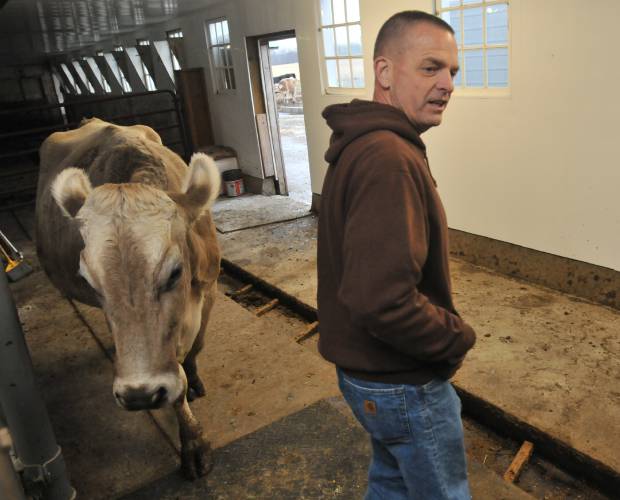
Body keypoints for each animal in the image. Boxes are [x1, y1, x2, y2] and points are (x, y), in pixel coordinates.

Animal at [35, 118, 222, 480]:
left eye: (175, 272)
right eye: (89, 279)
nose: (138, 395)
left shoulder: (209, 288)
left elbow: (198, 347)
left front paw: (194, 377)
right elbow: (176, 383)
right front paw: (193, 442)